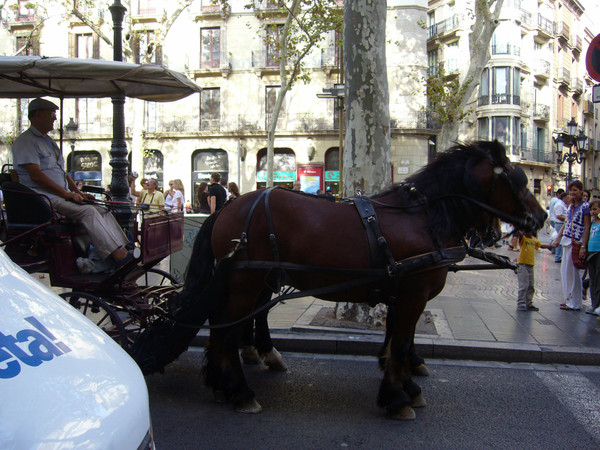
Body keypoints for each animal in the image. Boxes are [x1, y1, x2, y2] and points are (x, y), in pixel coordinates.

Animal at [134, 140, 548, 418]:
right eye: (516, 180)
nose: (542, 218)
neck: (424, 217)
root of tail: (228, 208)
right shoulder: (413, 295)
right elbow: (401, 345)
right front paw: (398, 397)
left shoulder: (400, 294)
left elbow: (396, 341)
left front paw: (406, 386)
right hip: (245, 282)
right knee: (226, 328)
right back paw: (239, 391)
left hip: (253, 281)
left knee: (232, 326)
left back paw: (228, 379)